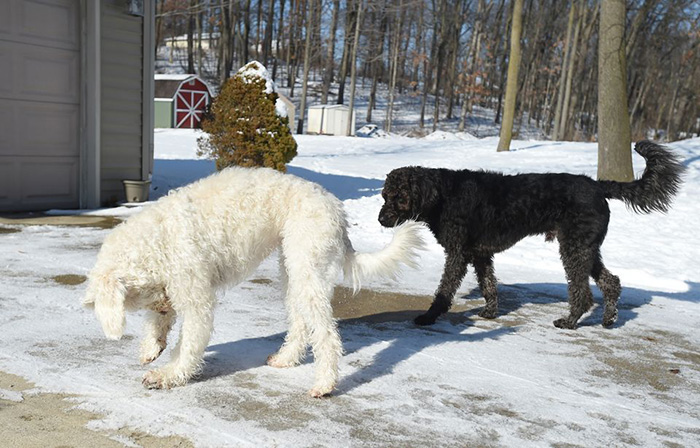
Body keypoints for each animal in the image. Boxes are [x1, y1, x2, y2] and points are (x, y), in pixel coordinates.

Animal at [82, 166, 422, 398]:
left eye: (136, 297)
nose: (165, 306)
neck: (158, 239)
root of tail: (337, 210)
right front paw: (152, 347)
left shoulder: (195, 299)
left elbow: (188, 345)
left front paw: (167, 375)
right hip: (294, 269)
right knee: (301, 323)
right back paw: (285, 359)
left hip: (306, 266)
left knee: (326, 333)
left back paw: (324, 384)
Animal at [380, 141, 688, 328]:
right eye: (384, 195)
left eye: (399, 197)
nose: (381, 219)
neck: (444, 194)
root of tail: (598, 185)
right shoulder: (480, 254)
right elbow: (489, 284)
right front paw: (490, 312)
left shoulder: (458, 254)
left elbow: (445, 289)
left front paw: (429, 316)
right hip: (587, 248)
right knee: (610, 282)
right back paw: (608, 319)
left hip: (574, 249)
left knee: (583, 292)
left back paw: (570, 321)